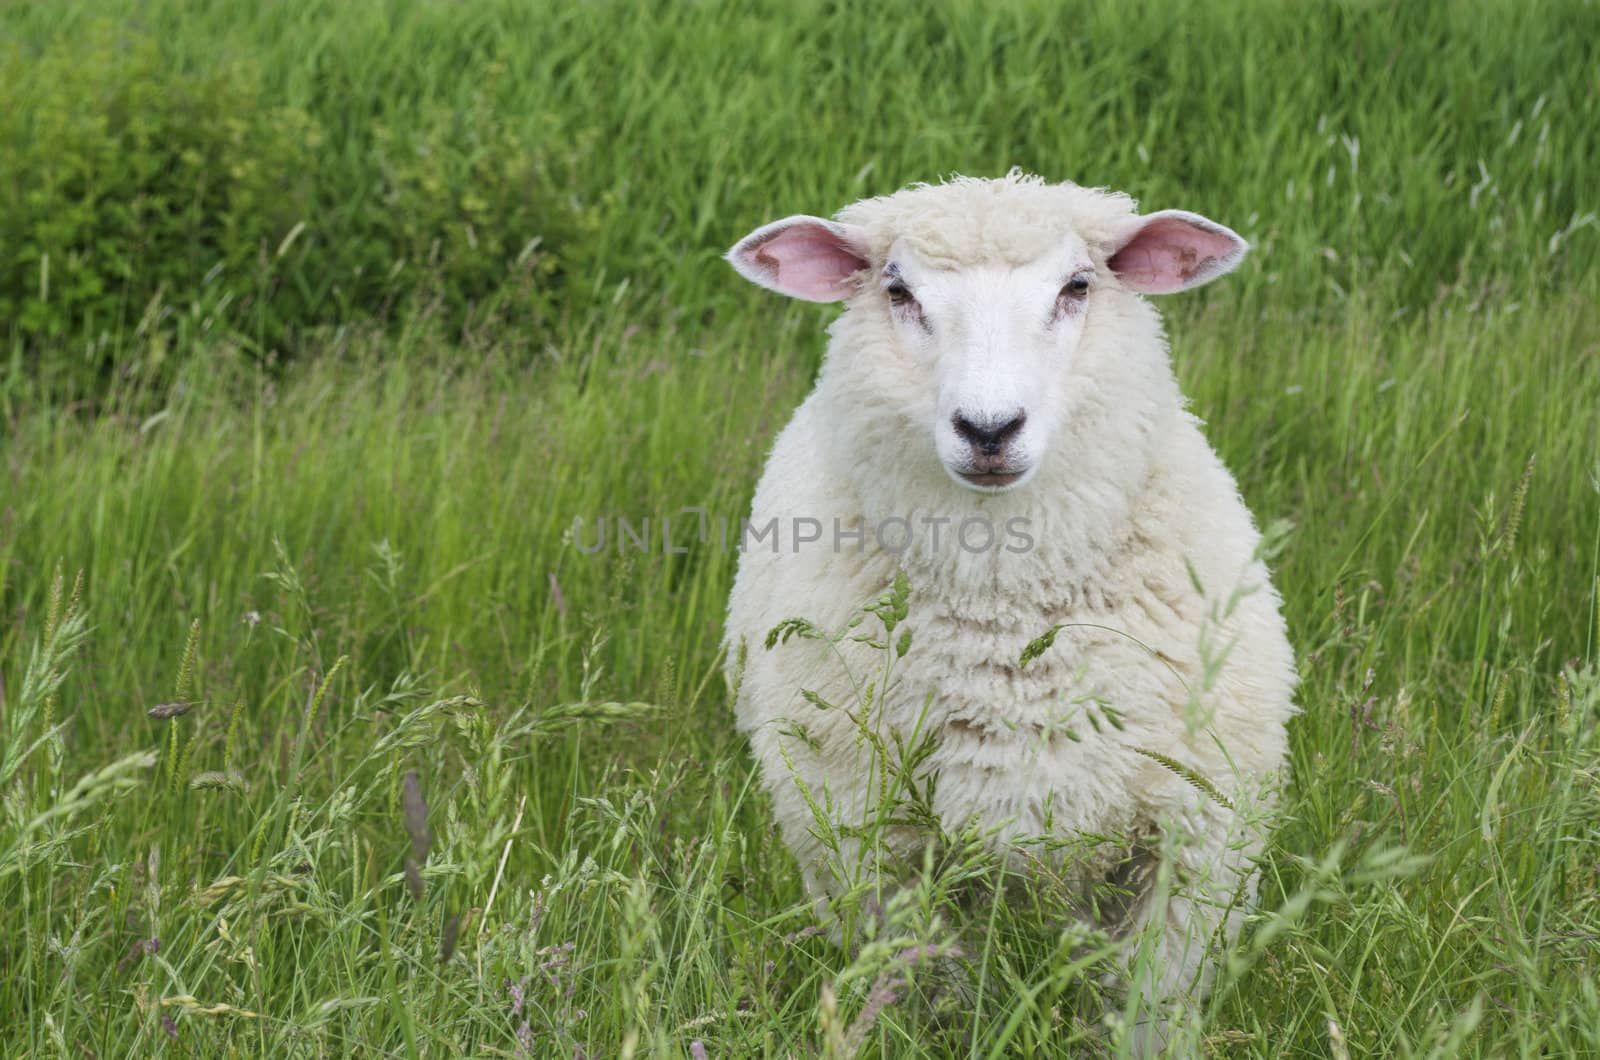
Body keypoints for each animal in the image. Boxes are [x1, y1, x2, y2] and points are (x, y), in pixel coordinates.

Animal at [720, 174, 1292, 1037]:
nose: (989, 429)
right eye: (899, 292)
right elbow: (937, 999)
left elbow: (1148, 1004)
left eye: (1077, 287)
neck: (1007, 611)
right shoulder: (869, 846)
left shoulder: (1199, 840)